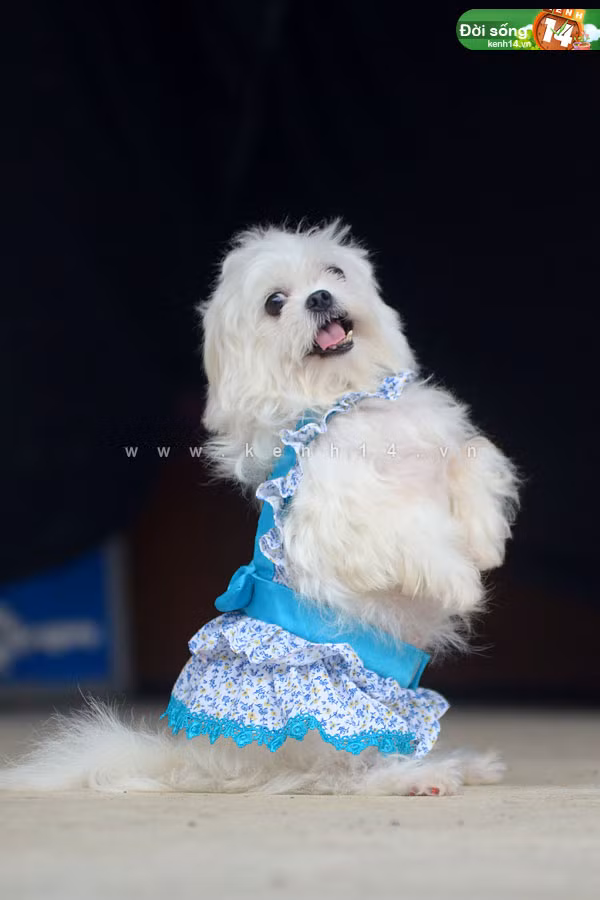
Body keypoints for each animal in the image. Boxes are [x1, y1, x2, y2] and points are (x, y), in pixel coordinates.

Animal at [0, 221, 518, 795]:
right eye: (275, 303)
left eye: (334, 272)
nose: (319, 298)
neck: (343, 398)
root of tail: (203, 757)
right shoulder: (343, 520)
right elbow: (415, 531)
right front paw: (463, 583)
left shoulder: (442, 447)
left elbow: (474, 463)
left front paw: (485, 542)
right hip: (336, 712)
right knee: (342, 772)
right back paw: (420, 777)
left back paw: (464, 764)